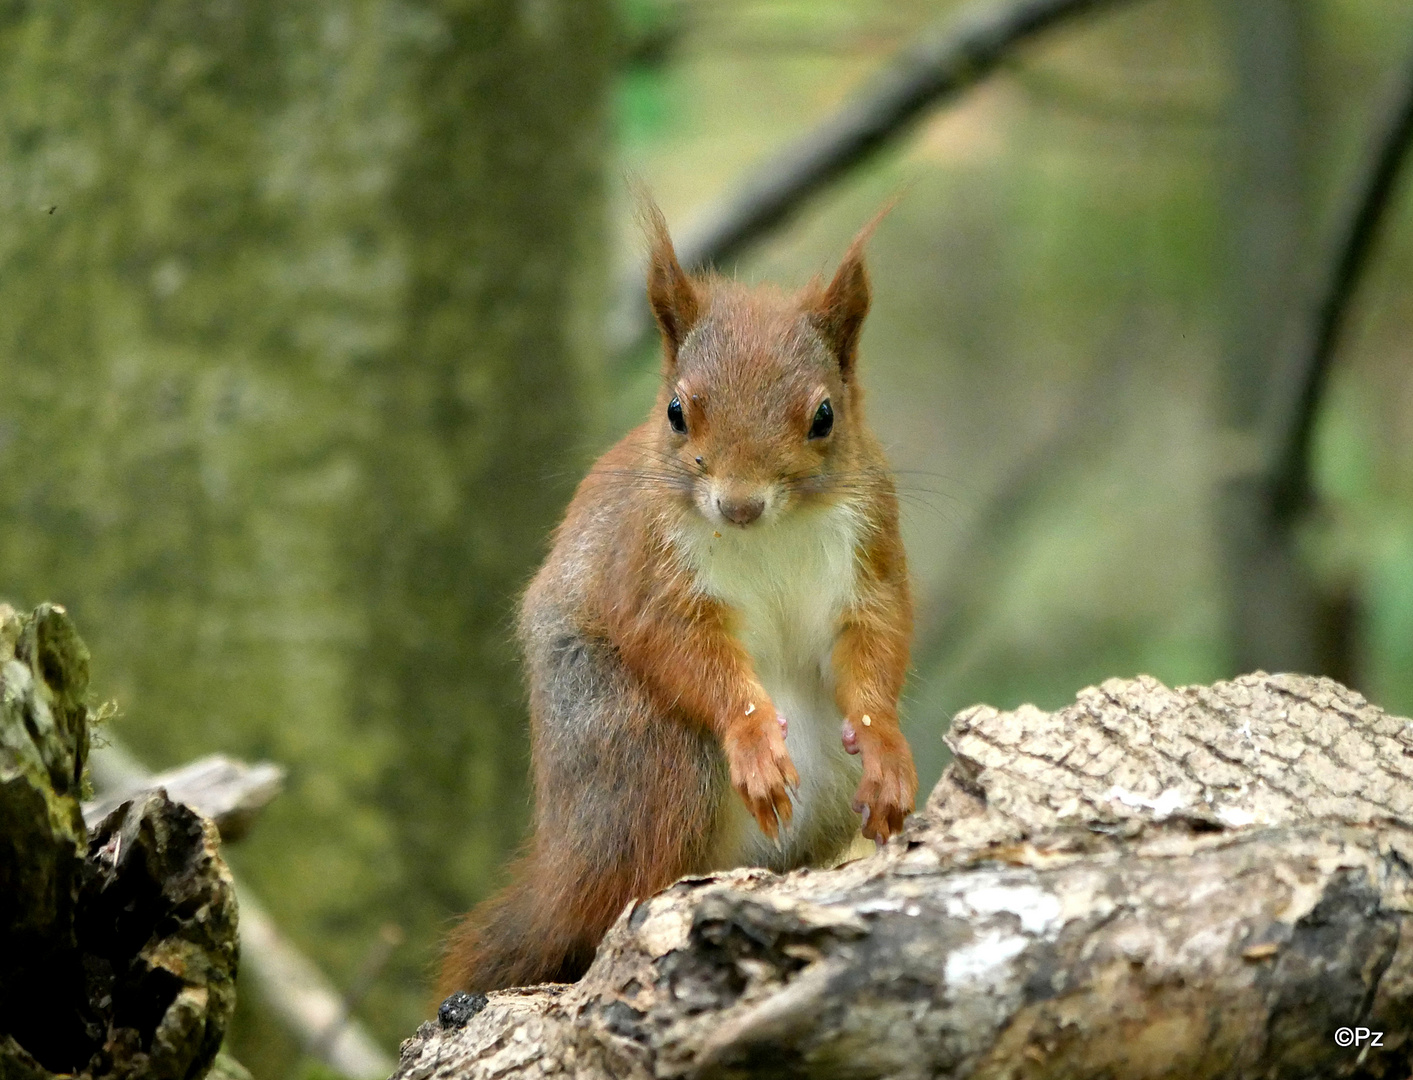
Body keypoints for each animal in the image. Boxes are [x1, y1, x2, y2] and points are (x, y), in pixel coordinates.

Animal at [443, 202, 926, 995]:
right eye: (675, 411)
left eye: (824, 416)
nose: (738, 505)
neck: (771, 533)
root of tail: (566, 858)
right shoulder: (647, 563)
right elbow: (676, 641)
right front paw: (753, 736)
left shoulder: (872, 550)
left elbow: (877, 639)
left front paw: (885, 745)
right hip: (651, 755)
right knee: (624, 887)